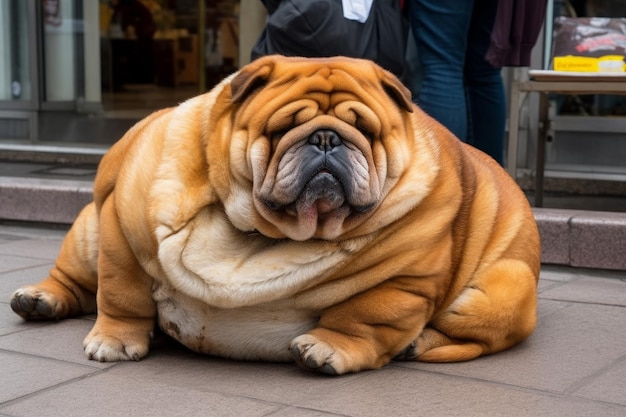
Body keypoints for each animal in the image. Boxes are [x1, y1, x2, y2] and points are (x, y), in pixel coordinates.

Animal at [9, 55, 540, 374]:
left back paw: (416, 343)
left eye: (367, 132)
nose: (327, 138)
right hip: (88, 234)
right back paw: (39, 298)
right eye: (282, 128)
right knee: (77, 279)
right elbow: (121, 293)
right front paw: (116, 341)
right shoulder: (122, 232)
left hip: (499, 290)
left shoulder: (402, 281)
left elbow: (362, 317)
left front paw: (329, 348)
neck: (258, 230)